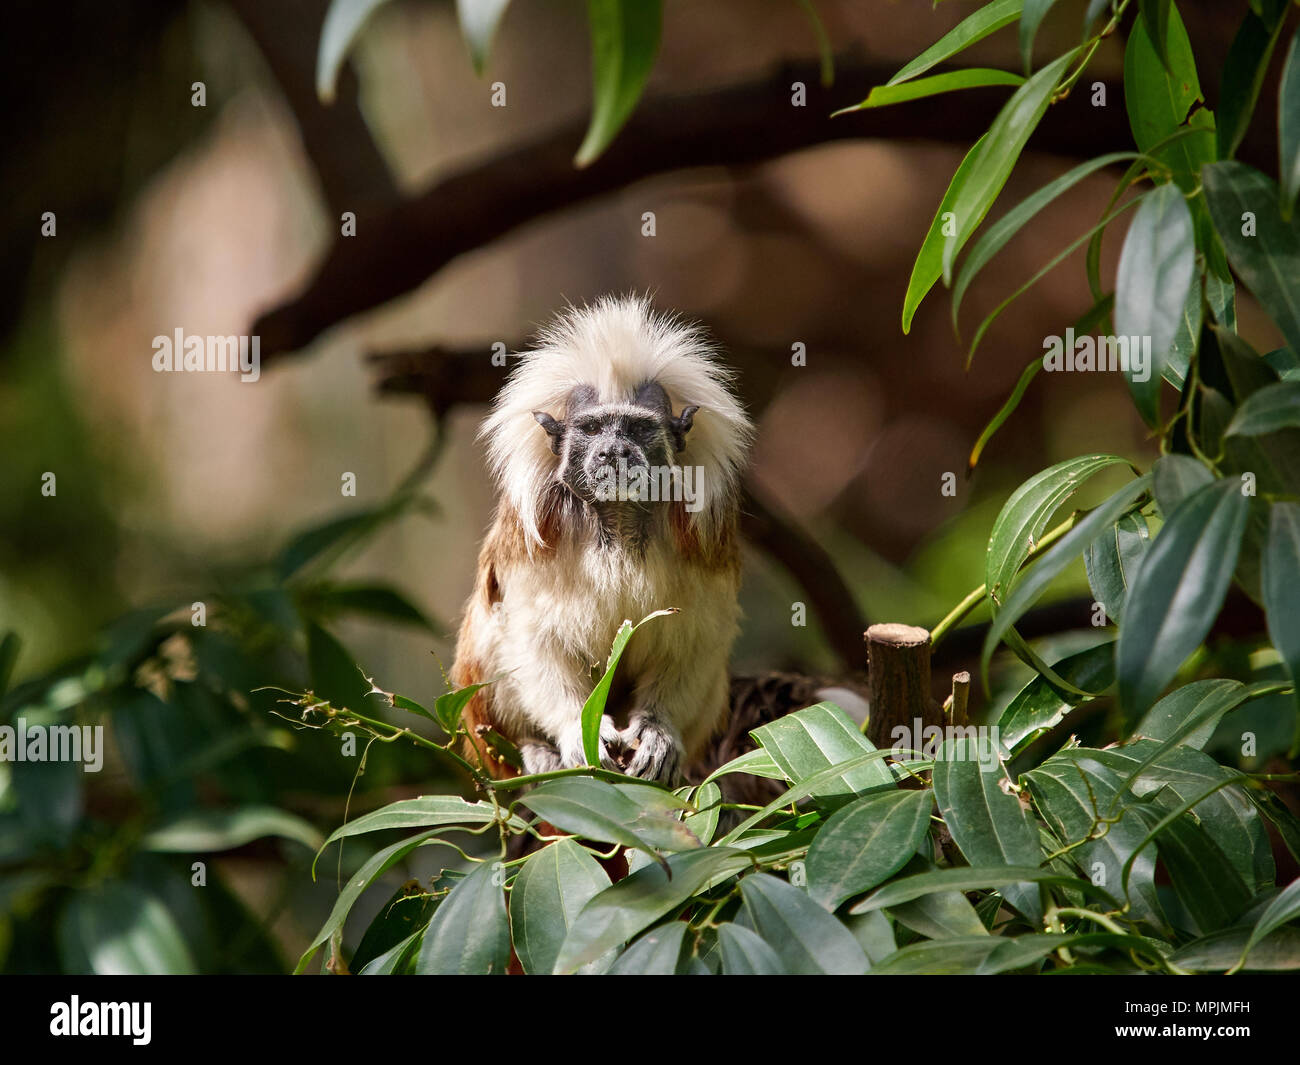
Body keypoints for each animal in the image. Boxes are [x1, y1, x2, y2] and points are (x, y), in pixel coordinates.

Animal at [450, 296, 754, 785]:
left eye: (636, 429)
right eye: (593, 429)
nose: (614, 452)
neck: (619, 525)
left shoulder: (705, 541)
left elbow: (696, 638)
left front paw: (658, 732)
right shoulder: (533, 538)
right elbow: (533, 640)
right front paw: (576, 730)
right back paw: (535, 751)